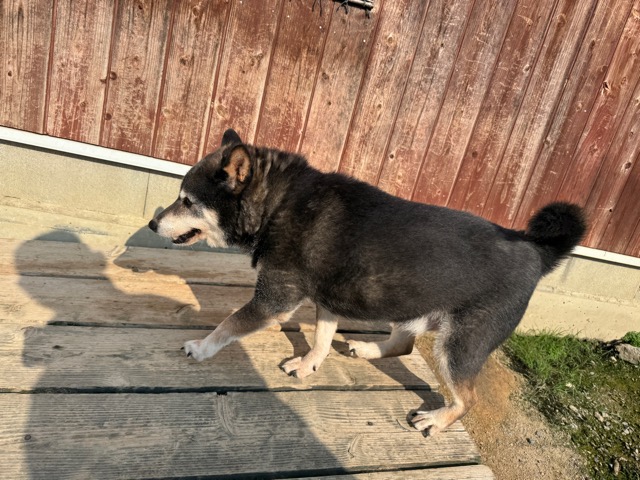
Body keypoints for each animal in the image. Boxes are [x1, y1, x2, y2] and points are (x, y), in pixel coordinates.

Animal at [148, 128, 586, 436]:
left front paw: (201, 347)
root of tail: (536, 249)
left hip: (458, 346)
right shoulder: (325, 299)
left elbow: (229, 324)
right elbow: (322, 337)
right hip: (408, 304)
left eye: (187, 202)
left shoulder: (275, 299)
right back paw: (368, 349)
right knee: (404, 343)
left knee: (467, 398)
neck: (277, 205)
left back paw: (437, 420)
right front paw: (309, 363)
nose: (152, 224)